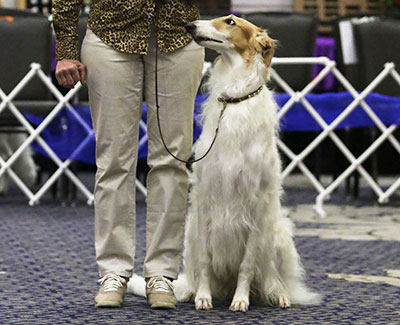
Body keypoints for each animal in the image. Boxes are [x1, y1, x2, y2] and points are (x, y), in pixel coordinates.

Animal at [129, 15, 322, 312]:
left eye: (230, 21)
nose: (189, 26)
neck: (234, 99)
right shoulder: (205, 199)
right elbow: (205, 263)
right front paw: (203, 298)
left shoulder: (256, 206)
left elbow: (247, 265)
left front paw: (240, 300)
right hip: (190, 235)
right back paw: (188, 293)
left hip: (278, 235)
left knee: (272, 277)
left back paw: (277, 294)